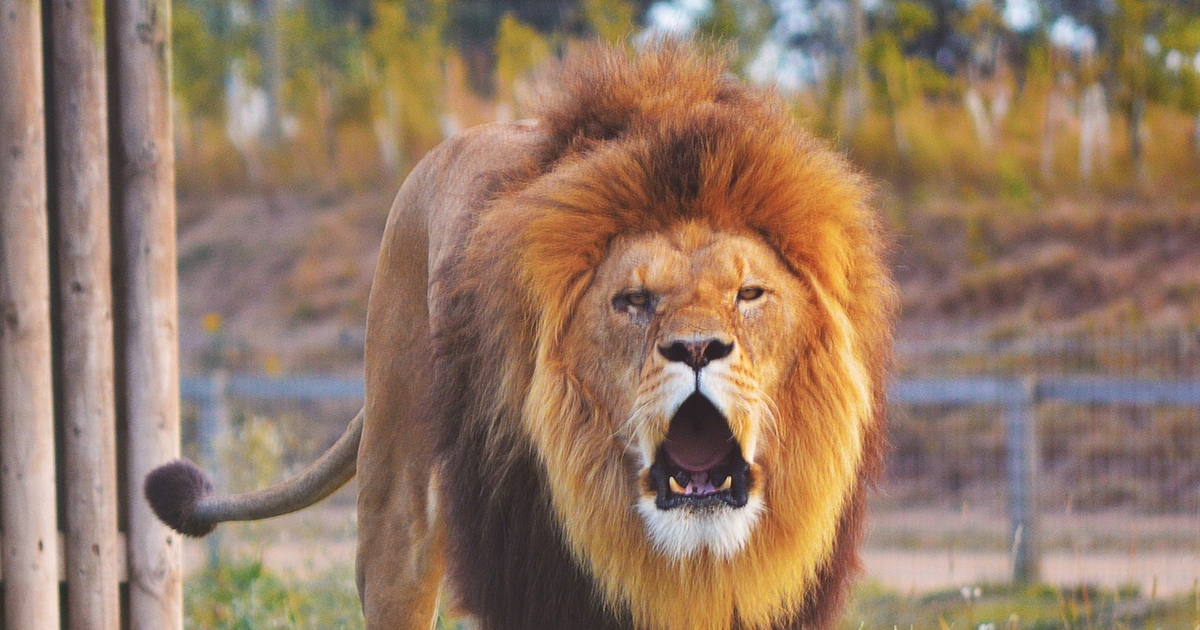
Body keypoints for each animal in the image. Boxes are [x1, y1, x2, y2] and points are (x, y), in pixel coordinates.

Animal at [146, 42, 896, 630]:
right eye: (633, 301)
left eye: (749, 294)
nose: (696, 349)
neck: (685, 559)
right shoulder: (538, 575)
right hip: (395, 509)